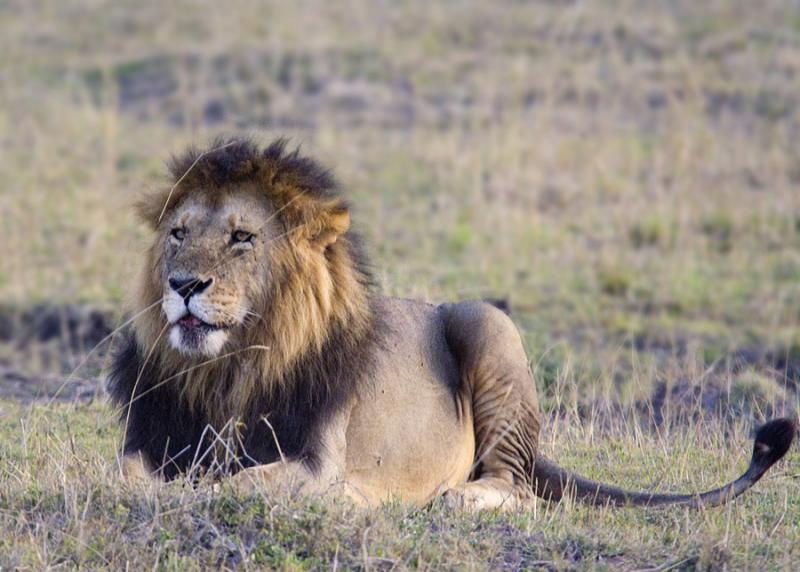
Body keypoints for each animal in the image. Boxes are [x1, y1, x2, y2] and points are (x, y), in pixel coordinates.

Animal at [109, 137, 795, 510]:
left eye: (243, 238)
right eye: (179, 234)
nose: (183, 286)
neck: (232, 368)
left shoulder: (315, 463)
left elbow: (240, 484)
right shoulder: (148, 440)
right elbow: (129, 476)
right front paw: (154, 491)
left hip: (488, 323)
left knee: (517, 486)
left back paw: (460, 497)